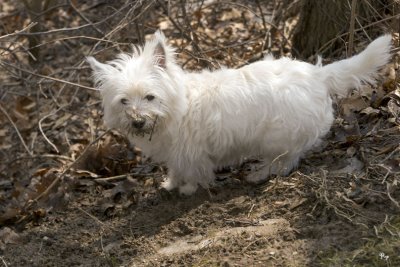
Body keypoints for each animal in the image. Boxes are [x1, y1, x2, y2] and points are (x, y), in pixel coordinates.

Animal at [87, 31, 390, 196]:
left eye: (150, 96)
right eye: (123, 101)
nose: (138, 121)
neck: (176, 107)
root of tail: (318, 75)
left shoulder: (191, 152)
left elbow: (194, 172)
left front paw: (187, 188)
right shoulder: (175, 154)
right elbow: (175, 169)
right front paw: (170, 184)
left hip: (276, 136)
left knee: (286, 161)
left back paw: (259, 173)